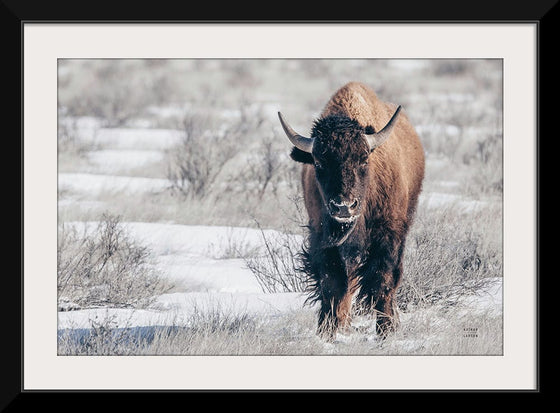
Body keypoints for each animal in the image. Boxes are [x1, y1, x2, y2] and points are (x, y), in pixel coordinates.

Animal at [280, 80, 424, 338]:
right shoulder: (323, 238)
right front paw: (326, 332)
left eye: (364, 159)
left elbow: (383, 281)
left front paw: (386, 331)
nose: (343, 207)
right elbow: (332, 284)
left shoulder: (389, 236)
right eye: (319, 163)